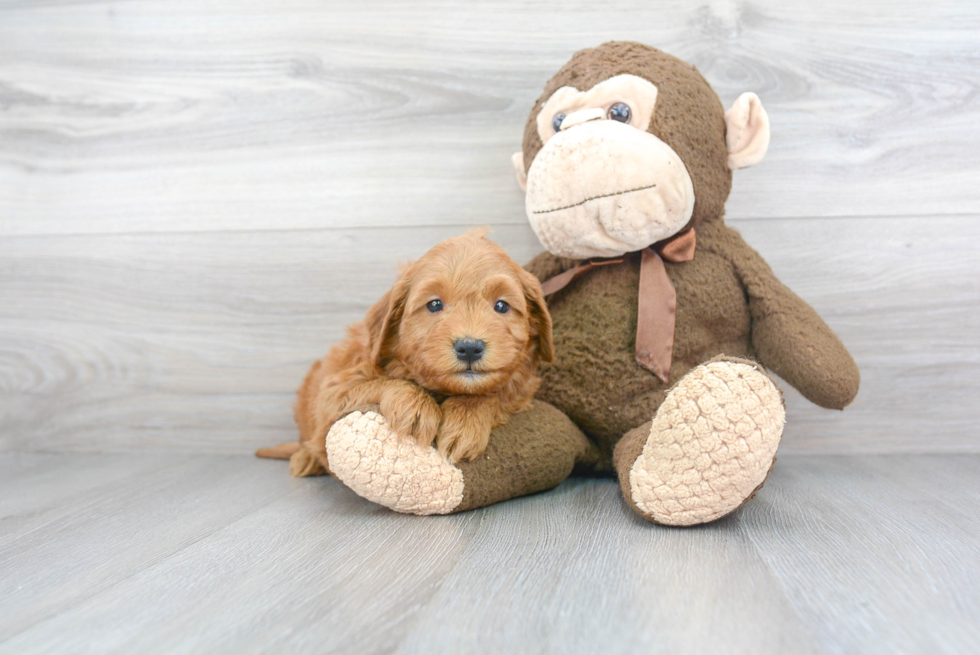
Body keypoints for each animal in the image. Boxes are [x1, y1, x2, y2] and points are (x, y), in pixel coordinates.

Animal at [264, 231, 556, 476]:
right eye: (434, 304)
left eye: (501, 306)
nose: (470, 347)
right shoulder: (333, 393)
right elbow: (383, 382)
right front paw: (416, 407)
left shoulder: (520, 391)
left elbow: (491, 395)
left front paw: (465, 421)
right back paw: (305, 459)